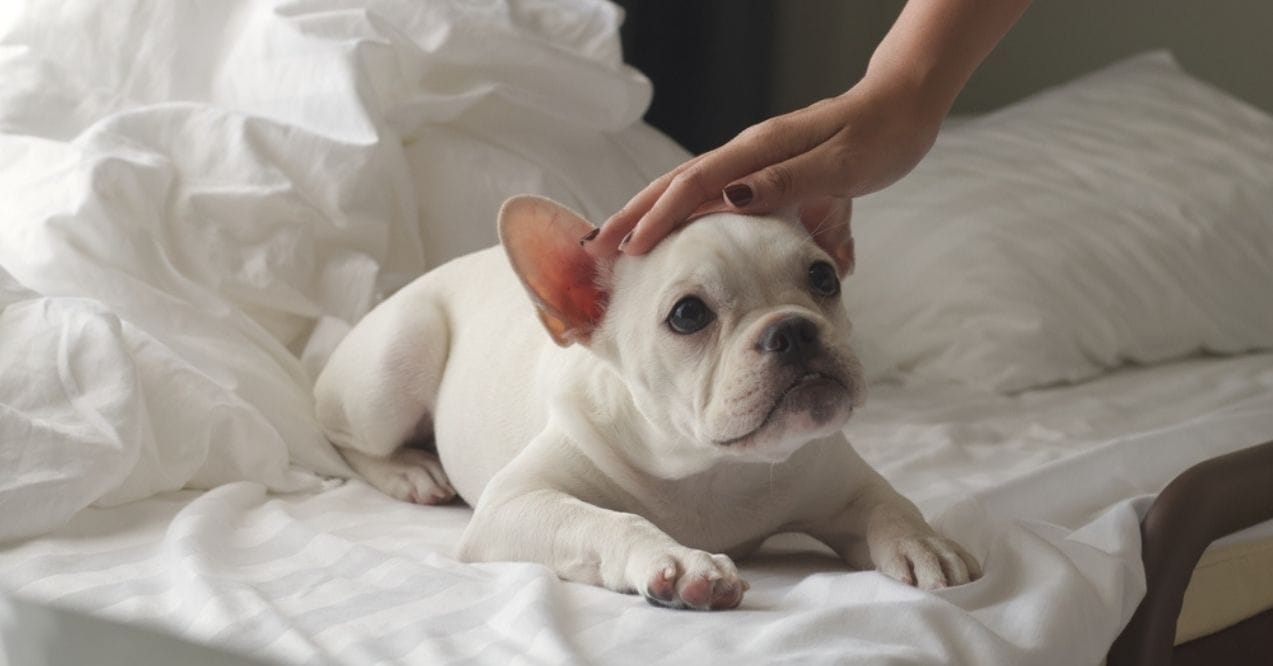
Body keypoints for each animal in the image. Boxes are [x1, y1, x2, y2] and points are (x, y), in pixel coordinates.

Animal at [313, 193, 977, 608]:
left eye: (824, 279)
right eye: (688, 315)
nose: (793, 329)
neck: (710, 469)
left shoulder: (839, 481)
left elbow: (889, 502)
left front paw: (924, 542)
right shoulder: (515, 503)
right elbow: (602, 519)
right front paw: (679, 561)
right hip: (400, 357)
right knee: (344, 439)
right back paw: (412, 471)